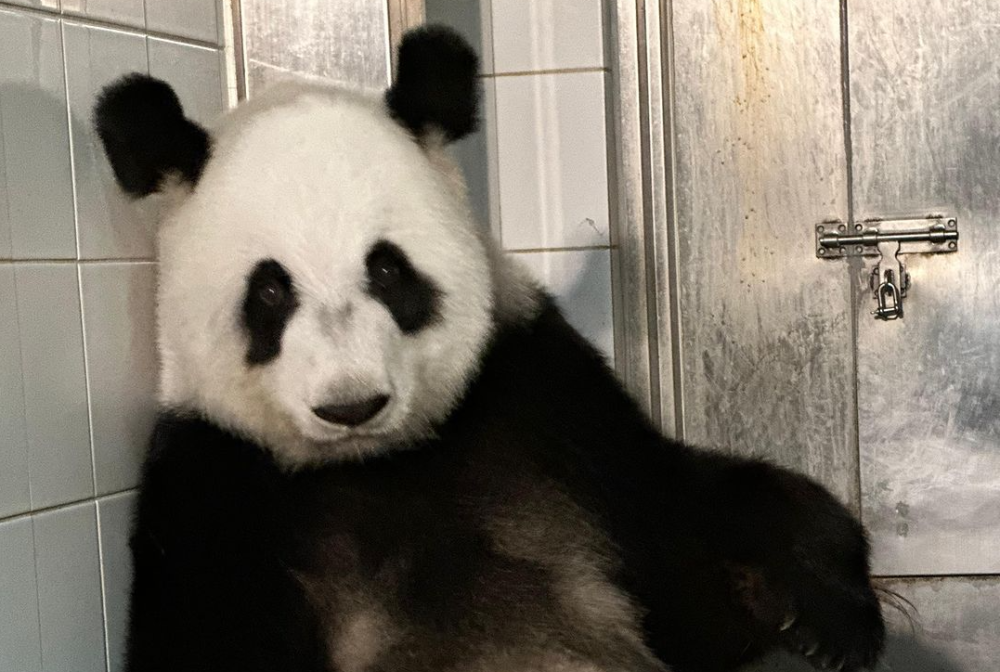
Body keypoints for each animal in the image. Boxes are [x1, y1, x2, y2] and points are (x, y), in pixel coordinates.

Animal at [94, 23, 888, 672]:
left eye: (388, 271)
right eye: (269, 291)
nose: (352, 405)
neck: (379, 462)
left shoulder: (543, 396)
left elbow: (681, 536)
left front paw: (822, 612)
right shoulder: (214, 485)